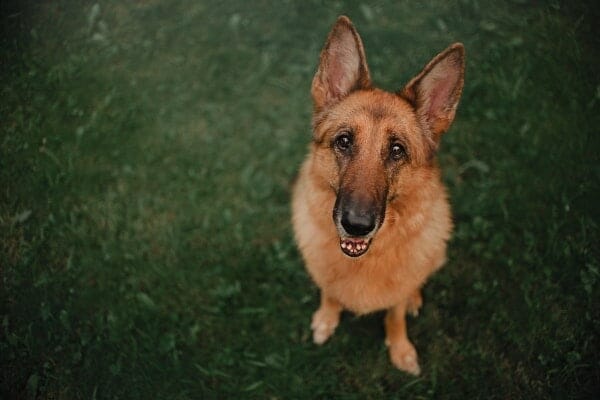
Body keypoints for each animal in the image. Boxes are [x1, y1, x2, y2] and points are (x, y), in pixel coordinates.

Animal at [290, 14, 464, 376]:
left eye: (397, 150)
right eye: (344, 141)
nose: (357, 226)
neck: (364, 259)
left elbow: (394, 316)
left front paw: (400, 349)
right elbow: (330, 292)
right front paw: (326, 319)